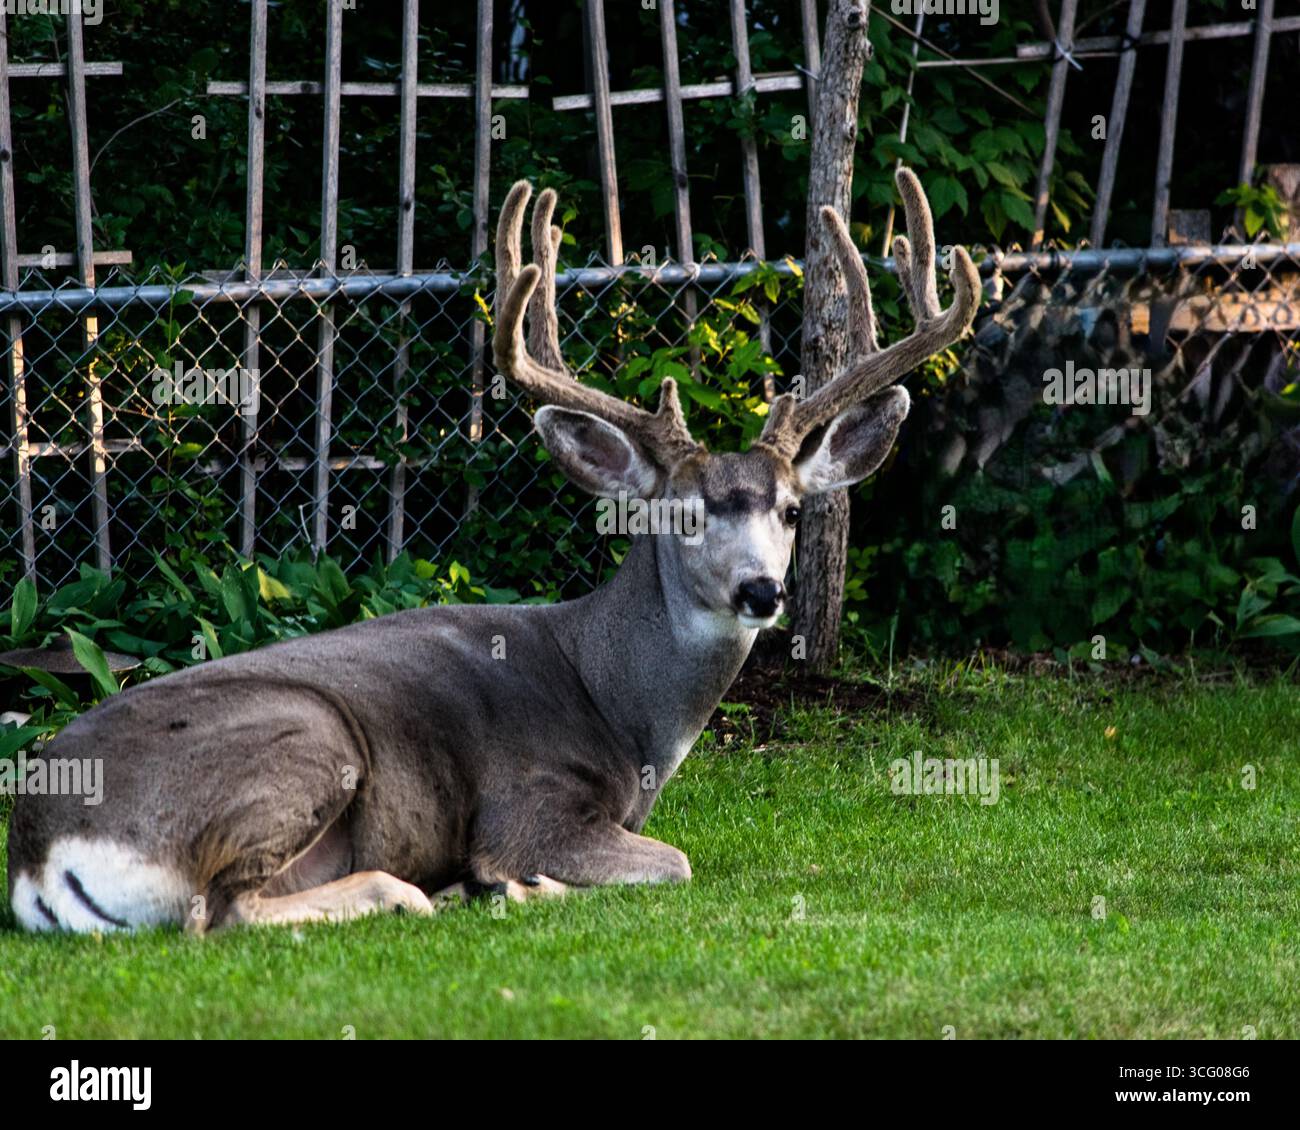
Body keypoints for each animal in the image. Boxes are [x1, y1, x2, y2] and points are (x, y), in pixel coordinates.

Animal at [7, 169, 978, 933]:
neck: (618, 702)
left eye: (790, 508)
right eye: (684, 514)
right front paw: (512, 882)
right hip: (307, 740)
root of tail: (38, 857)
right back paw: (433, 892)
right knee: (220, 909)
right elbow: (674, 862)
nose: (761, 592)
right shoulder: (527, 806)